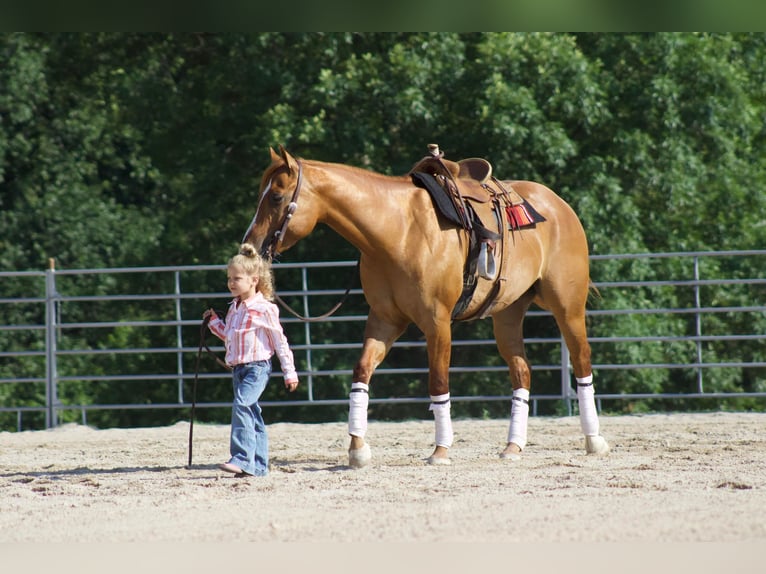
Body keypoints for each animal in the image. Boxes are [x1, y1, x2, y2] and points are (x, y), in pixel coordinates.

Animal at [243, 144, 616, 468]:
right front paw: (358, 450)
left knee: (582, 362)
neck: (398, 231)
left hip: (567, 308)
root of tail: (559, 205)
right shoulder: (384, 320)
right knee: (522, 370)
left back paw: (594, 440)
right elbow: (361, 372)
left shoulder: (437, 322)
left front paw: (440, 451)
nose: (248, 248)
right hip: (507, 314)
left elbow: (438, 382)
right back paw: (513, 446)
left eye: (276, 196)